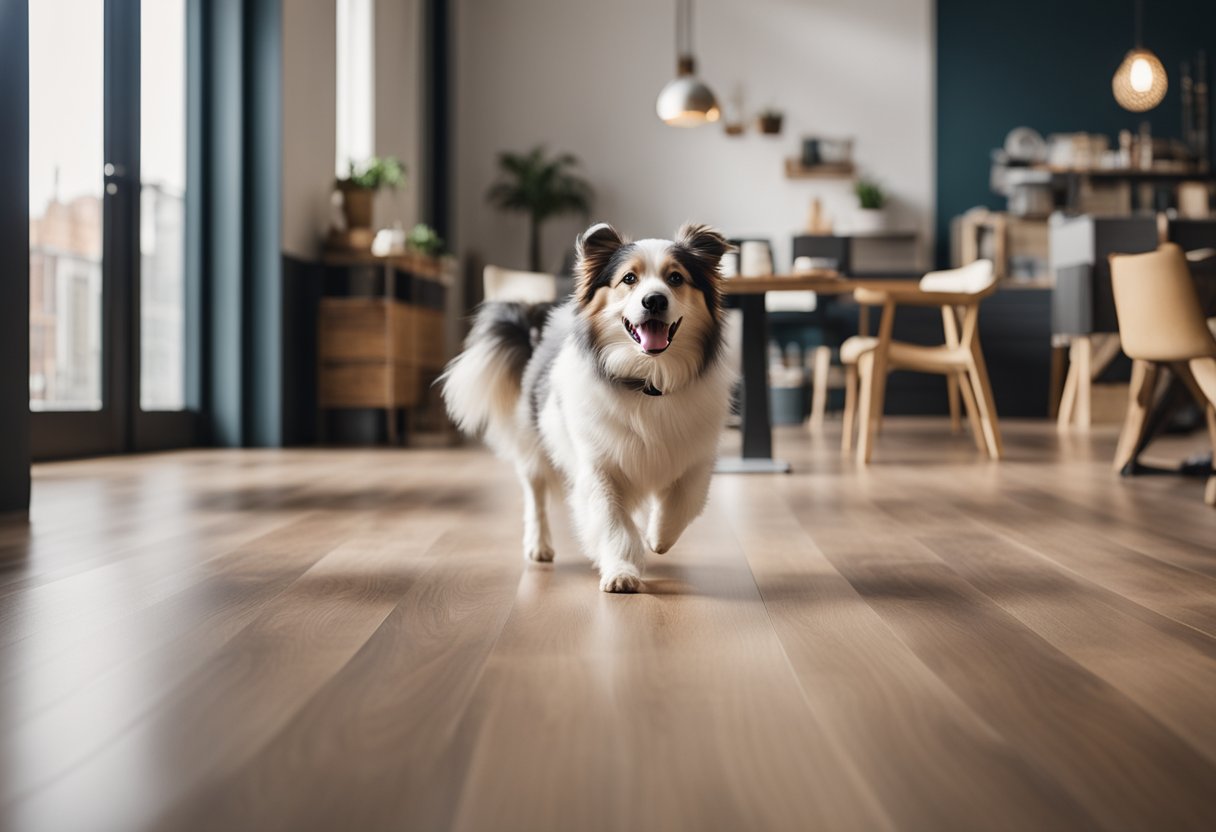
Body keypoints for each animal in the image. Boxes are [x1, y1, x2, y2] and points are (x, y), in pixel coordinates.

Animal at [445, 222, 734, 591]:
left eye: (676, 278)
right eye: (629, 279)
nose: (654, 300)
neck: (647, 382)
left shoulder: (695, 457)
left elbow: (682, 502)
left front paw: (657, 538)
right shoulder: (598, 466)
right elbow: (612, 521)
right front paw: (622, 570)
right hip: (533, 447)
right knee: (535, 496)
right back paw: (539, 546)